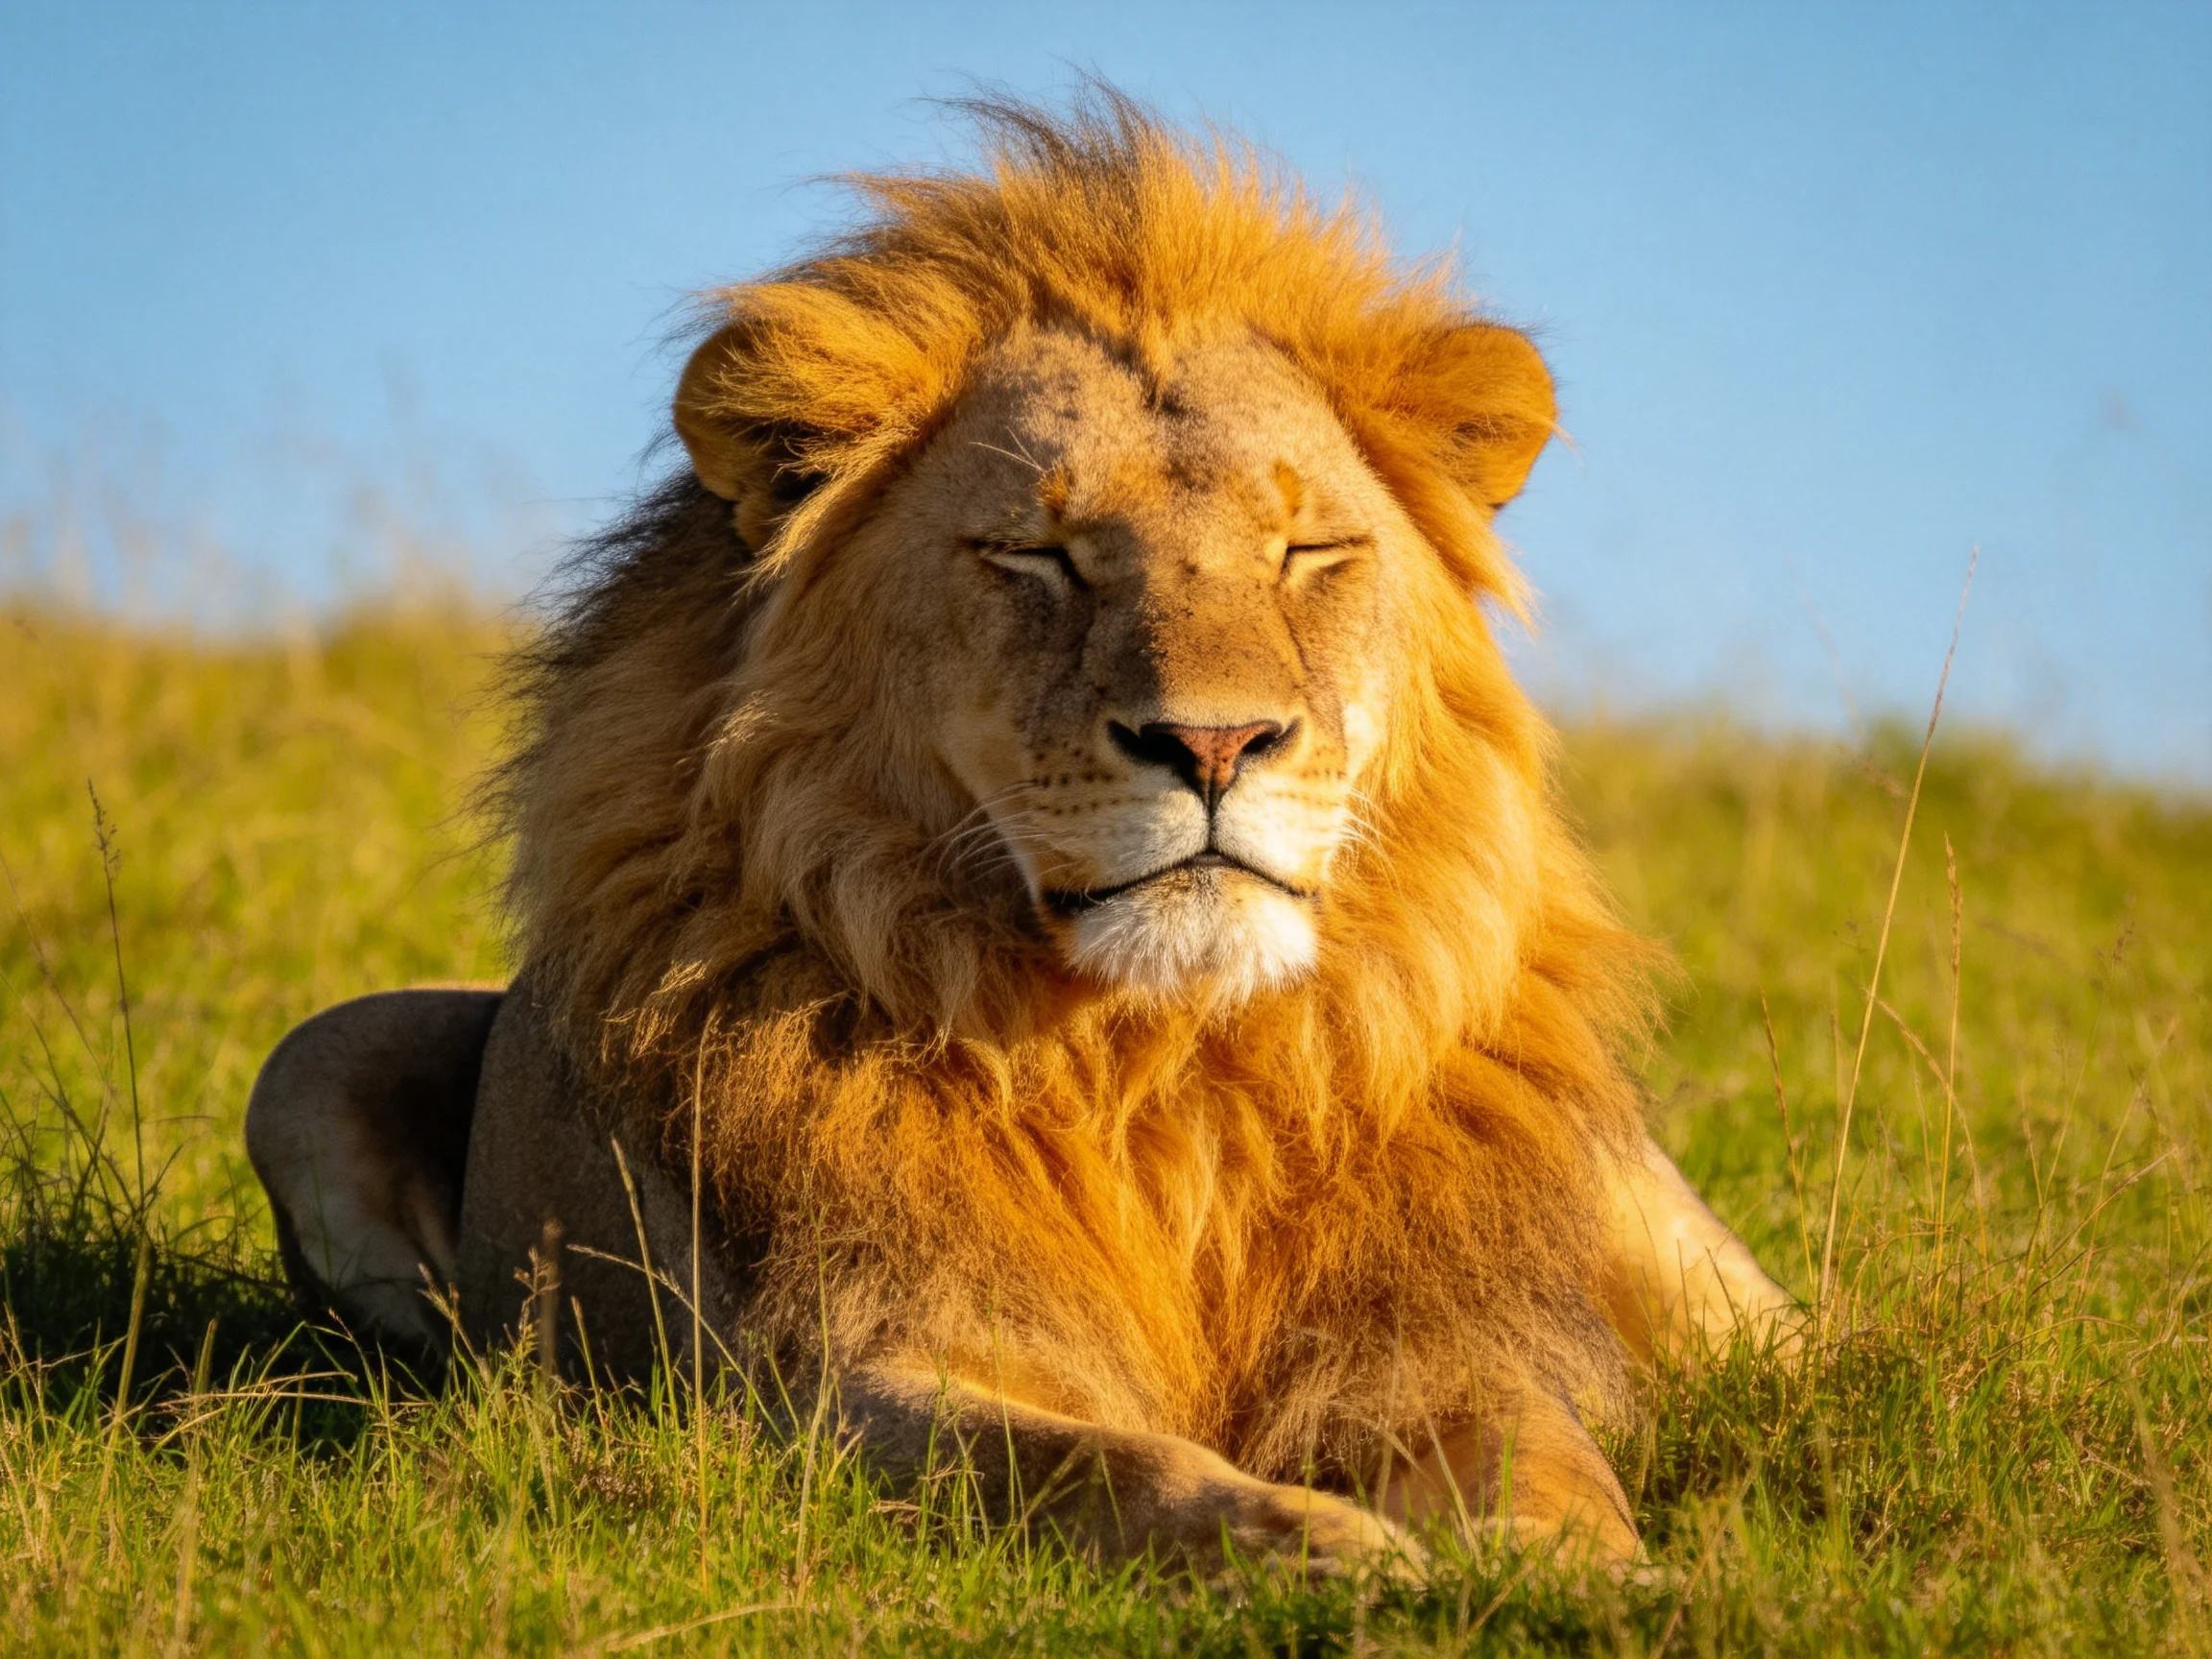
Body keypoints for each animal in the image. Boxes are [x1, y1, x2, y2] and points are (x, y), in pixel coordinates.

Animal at [246, 92, 1796, 1578]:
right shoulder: (840, 1381)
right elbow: (1106, 1465)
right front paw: (1331, 1551)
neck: (1164, 1059)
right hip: (309, 1062)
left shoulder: (1440, 1351)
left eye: (1307, 553)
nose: (1217, 745)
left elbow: (1553, 1469)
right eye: (1038, 555)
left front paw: (1593, 1587)